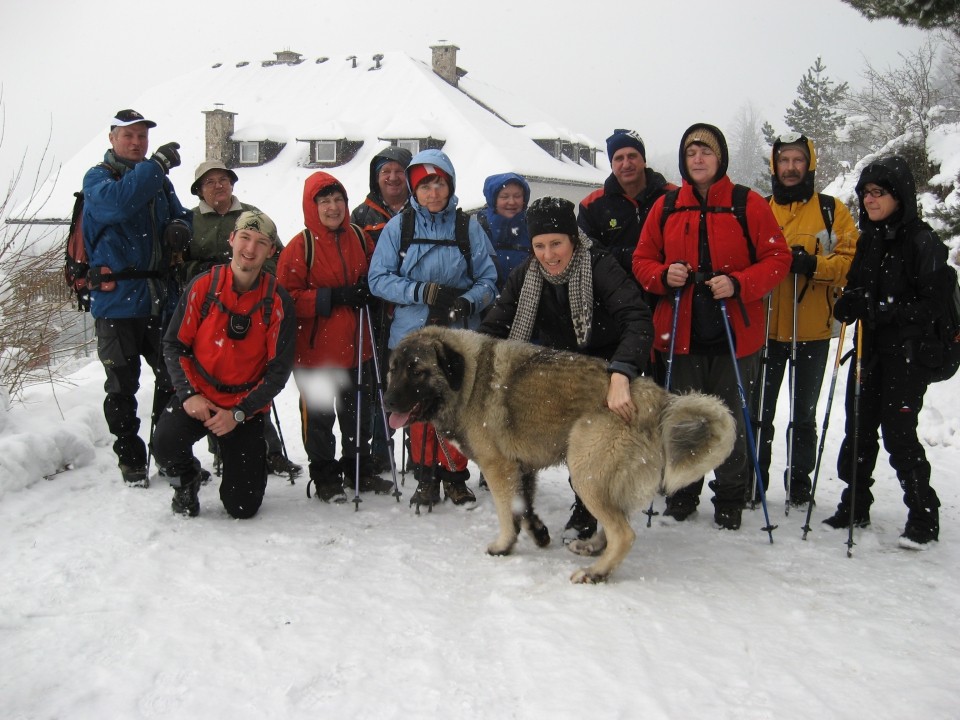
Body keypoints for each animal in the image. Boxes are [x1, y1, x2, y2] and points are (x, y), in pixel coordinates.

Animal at [382, 330, 736, 584]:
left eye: (417, 371)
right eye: (393, 369)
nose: (386, 401)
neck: (468, 380)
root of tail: (657, 401)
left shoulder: (498, 467)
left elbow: (506, 511)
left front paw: (503, 546)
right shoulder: (521, 469)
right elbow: (523, 508)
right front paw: (538, 533)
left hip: (584, 468)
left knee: (624, 533)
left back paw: (596, 573)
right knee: (617, 522)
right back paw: (592, 547)